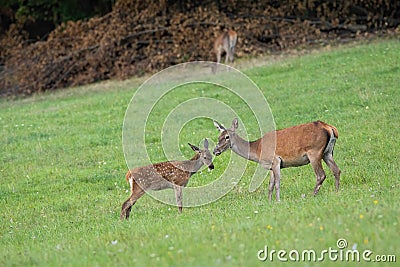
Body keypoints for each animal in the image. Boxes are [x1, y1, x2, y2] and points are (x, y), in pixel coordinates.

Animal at [212, 118, 340, 202]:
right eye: (219, 137)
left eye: (227, 137)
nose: (215, 151)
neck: (257, 151)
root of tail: (330, 128)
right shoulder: (270, 166)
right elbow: (270, 185)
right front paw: (269, 202)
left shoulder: (276, 160)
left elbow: (277, 183)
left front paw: (278, 201)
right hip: (328, 153)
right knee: (336, 170)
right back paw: (336, 192)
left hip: (314, 152)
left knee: (321, 175)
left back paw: (312, 195)